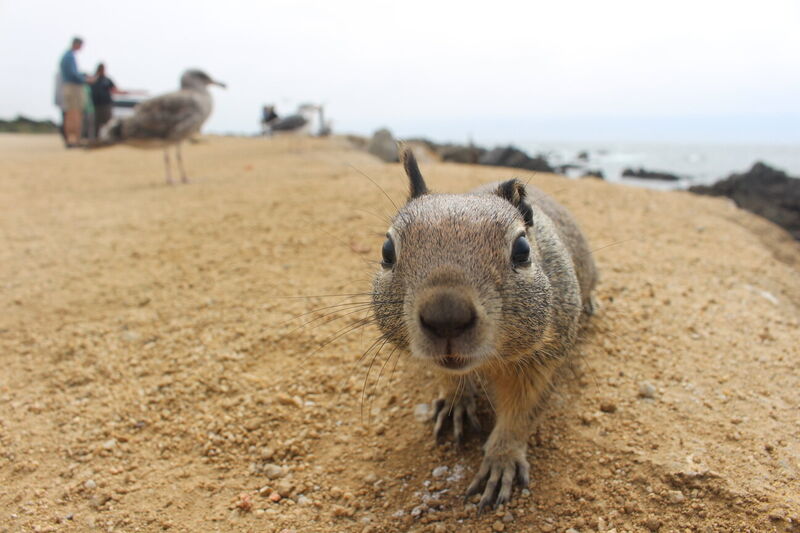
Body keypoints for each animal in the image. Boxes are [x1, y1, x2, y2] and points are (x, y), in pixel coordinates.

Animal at [371, 147, 598, 510]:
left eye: (522, 250)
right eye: (387, 251)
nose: (446, 316)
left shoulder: (545, 358)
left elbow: (522, 413)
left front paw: (501, 460)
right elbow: (448, 378)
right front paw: (455, 405)